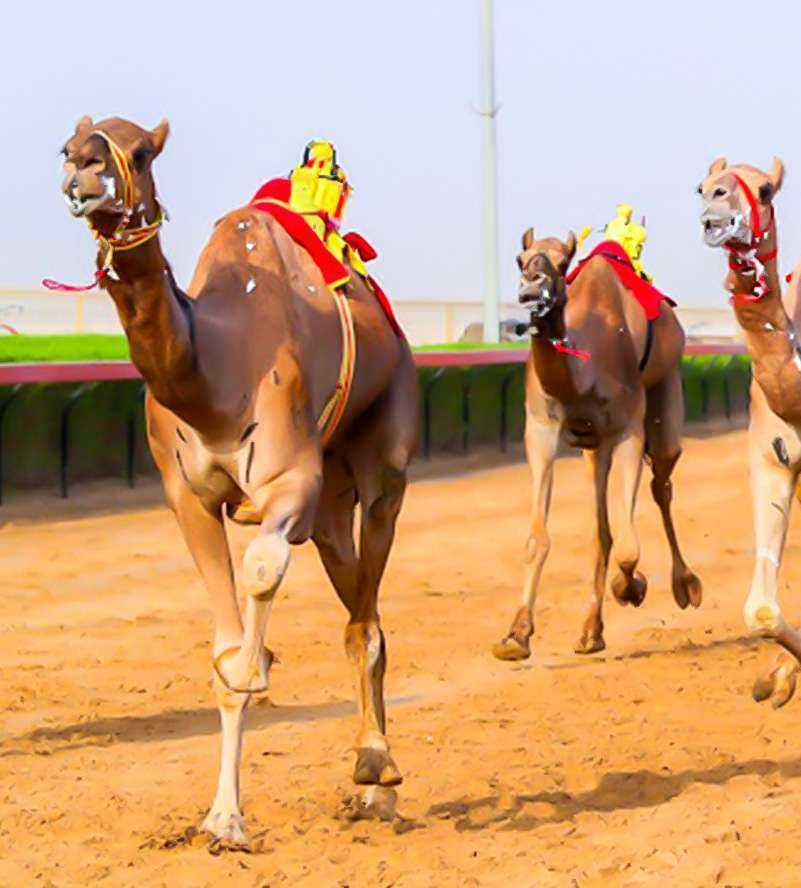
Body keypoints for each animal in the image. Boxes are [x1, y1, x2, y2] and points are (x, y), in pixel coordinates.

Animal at [56, 116, 418, 845]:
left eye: (141, 151)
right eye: (69, 145)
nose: (83, 169)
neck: (214, 370)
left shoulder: (289, 483)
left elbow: (256, 590)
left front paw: (227, 815)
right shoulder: (187, 499)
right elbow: (228, 657)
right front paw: (221, 817)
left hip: (384, 454)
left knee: (367, 612)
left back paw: (376, 768)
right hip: (330, 505)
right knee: (357, 604)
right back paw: (373, 786)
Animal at [492, 229, 701, 660]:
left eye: (563, 262)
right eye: (521, 259)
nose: (530, 289)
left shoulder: (628, 428)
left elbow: (629, 545)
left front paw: (632, 588)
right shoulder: (540, 429)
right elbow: (539, 537)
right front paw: (516, 636)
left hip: (665, 392)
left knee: (661, 483)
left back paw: (685, 585)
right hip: (593, 447)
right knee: (601, 529)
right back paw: (590, 632)